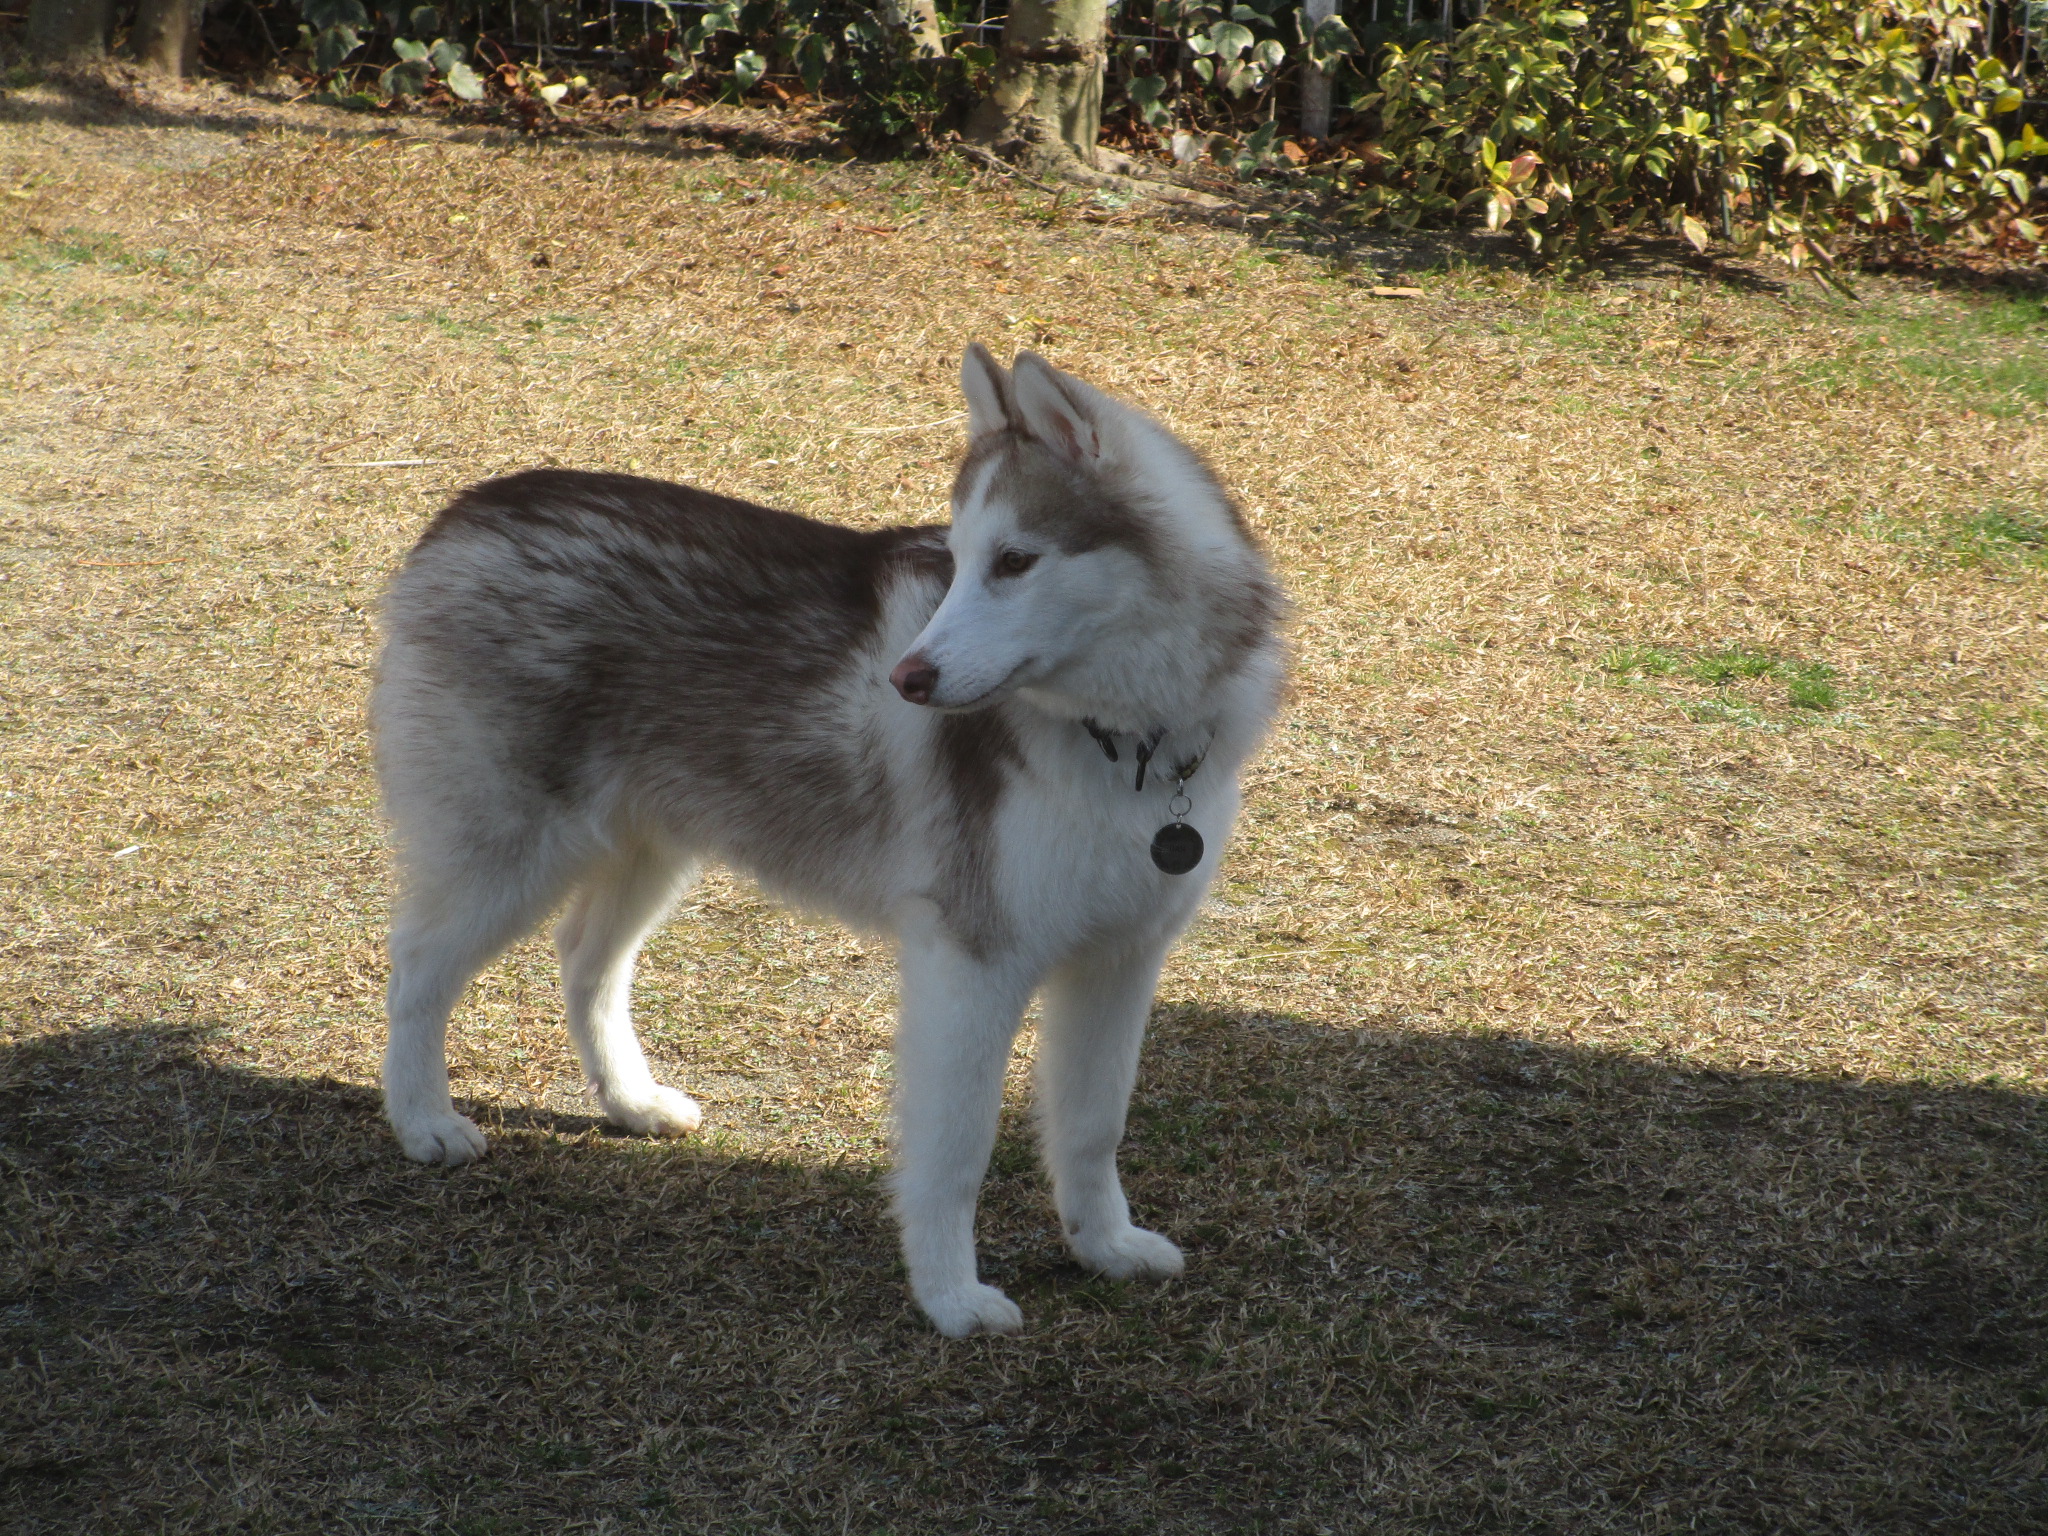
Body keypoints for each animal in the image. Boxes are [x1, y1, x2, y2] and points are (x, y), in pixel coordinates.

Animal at [372, 344, 1285, 1335]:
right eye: (957, 561)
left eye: (1014, 561)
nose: (907, 679)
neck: (1126, 739)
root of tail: (470, 506)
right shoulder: (973, 965)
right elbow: (957, 1149)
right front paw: (950, 1296)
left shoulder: (1120, 961)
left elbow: (1092, 1124)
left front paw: (1105, 1247)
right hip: (509, 853)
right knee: (418, 967)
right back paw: (422, 1121)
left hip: (650, 846)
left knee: (585, 960)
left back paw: (631, 1100)